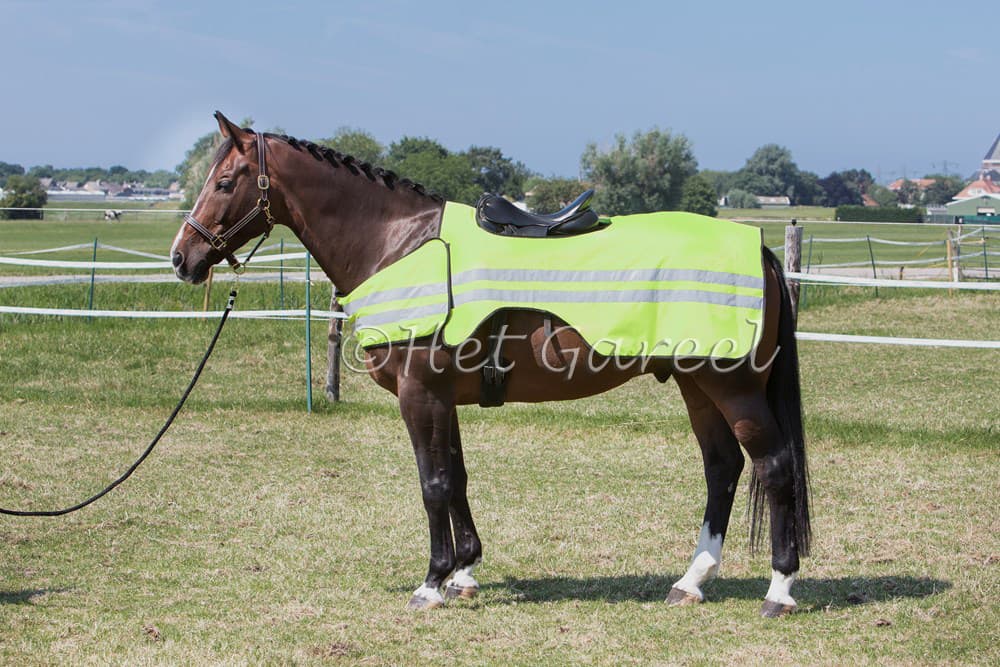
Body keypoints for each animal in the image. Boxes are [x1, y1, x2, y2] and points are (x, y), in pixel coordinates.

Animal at [171, 112, 811, 618]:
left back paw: (779, 590)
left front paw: (431, 583)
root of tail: (757, 248)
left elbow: (432, 484)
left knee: (775, 467)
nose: (183, 257)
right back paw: (691, 581)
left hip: (731, 387)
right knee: (723, 467)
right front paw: (464, 572)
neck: (401, 245)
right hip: (696, 385)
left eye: (224, 181)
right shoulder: (442, 398)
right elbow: (455, 478)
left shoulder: (420, 395)